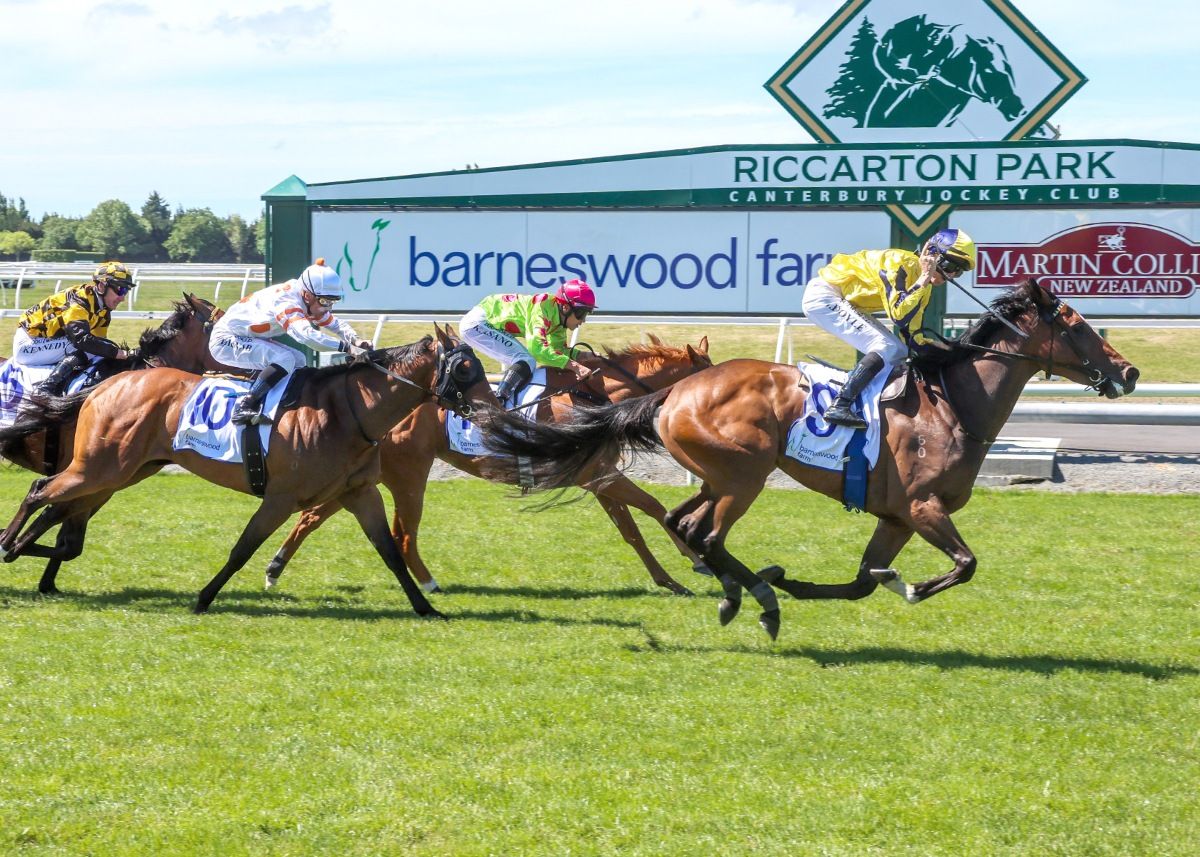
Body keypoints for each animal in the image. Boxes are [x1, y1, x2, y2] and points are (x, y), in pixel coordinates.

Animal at [0, 325, 493, 619]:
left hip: (123, 471)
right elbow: (242, 549)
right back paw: (9, 545)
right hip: (99, 468)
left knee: (60, 511)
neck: (350, 412)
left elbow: (389, 551)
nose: (493, 411)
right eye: (464, 368)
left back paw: (24, 553)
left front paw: (425, 607)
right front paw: (203, 598)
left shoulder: (360, 493)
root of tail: (106, 384)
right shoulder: (280, 497)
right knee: (42, 490)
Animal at [262, 335, 714, 597]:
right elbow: (654, 507)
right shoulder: (599, 476)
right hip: (408, 474)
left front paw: (670, 579)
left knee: (314, 515)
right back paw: (427, 582)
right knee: (398, 532)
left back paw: (274, 568)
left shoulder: (598, 477)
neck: (594, 397)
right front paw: (697, 560)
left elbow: (631, 531)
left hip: (362, 477)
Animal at [471, 279, 1139, 639]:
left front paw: (812, 581)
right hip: (745, 475)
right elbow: (965, 564)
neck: (953, 407)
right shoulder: (923, 508)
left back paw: (745, 587)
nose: (1129, 372)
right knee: (703, 534)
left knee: (682, 522)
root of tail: (674, 392)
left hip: (720, 475)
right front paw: (909, 587)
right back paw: (753, 599)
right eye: (1077, 324)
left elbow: (863, 582)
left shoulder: (896, 517)